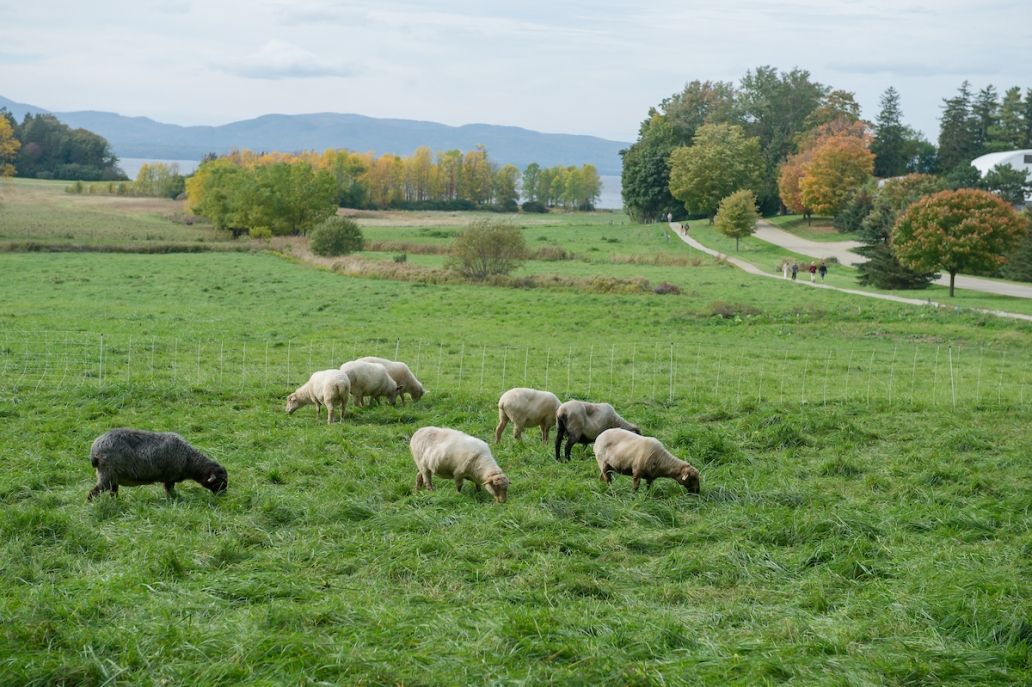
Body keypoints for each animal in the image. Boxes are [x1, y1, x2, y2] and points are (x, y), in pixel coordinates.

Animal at [87, 428, 228, 501]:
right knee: (92, 493)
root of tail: (95, 449)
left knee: (113, 493)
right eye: (220, 481)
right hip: (107, 475)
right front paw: (174, 500)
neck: (189, 460)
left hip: (112, 477)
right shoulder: (169, 477)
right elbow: (170, 491)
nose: (224, 495)